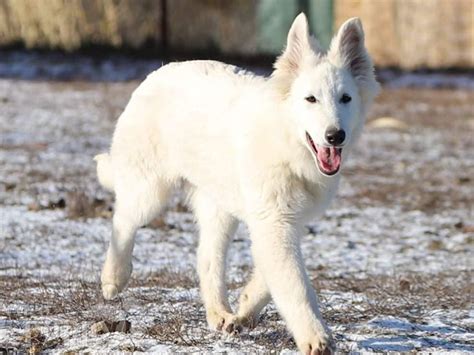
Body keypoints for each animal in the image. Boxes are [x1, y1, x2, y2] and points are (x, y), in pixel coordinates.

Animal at [95, 12, 378, 354]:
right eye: (311, 99)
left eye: (345, 99)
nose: (335, 136)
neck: (286, 144)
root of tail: (158, 72)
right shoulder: (274, 224)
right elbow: (296, 285)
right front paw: (315, 336)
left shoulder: (284, 223)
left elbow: (273, 276)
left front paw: (245, 308)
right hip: (150, 191)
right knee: (123, 220)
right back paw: (114, 278)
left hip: (219, 208)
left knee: (207, 259)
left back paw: (220, 313)